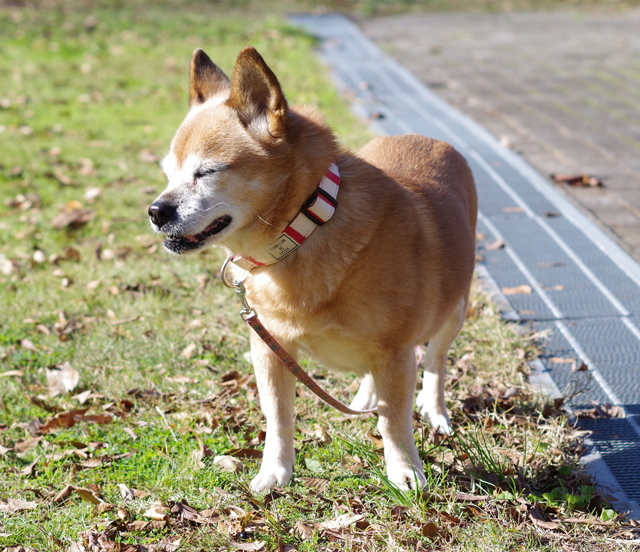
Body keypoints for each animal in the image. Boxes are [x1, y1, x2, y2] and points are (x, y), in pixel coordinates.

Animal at [149, 45, 476, 490]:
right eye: (168, 174)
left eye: (207, 172)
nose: (155, 211)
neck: (304, 230)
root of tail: (428, 138)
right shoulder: (271, 348)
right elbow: (278, 417)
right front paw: (275, 472)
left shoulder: (395, 352)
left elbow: (394, 420)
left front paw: (404, 471)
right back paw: (365, 396)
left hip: (453, 313)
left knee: (436, 365)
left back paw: (436, 411)